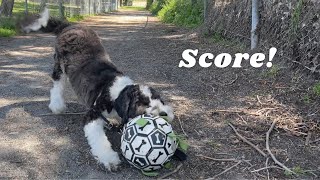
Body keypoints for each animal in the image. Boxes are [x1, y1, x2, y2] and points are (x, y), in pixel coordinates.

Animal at [21, 7, 175, 171]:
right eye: (143, 103)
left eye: (160, 99)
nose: (164, 113)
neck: (115, 92)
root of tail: (70, 26)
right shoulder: (93, 114)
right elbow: (99, 139)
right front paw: (109, 158)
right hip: (59, 66)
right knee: (57, 85)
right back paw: (57, 105)